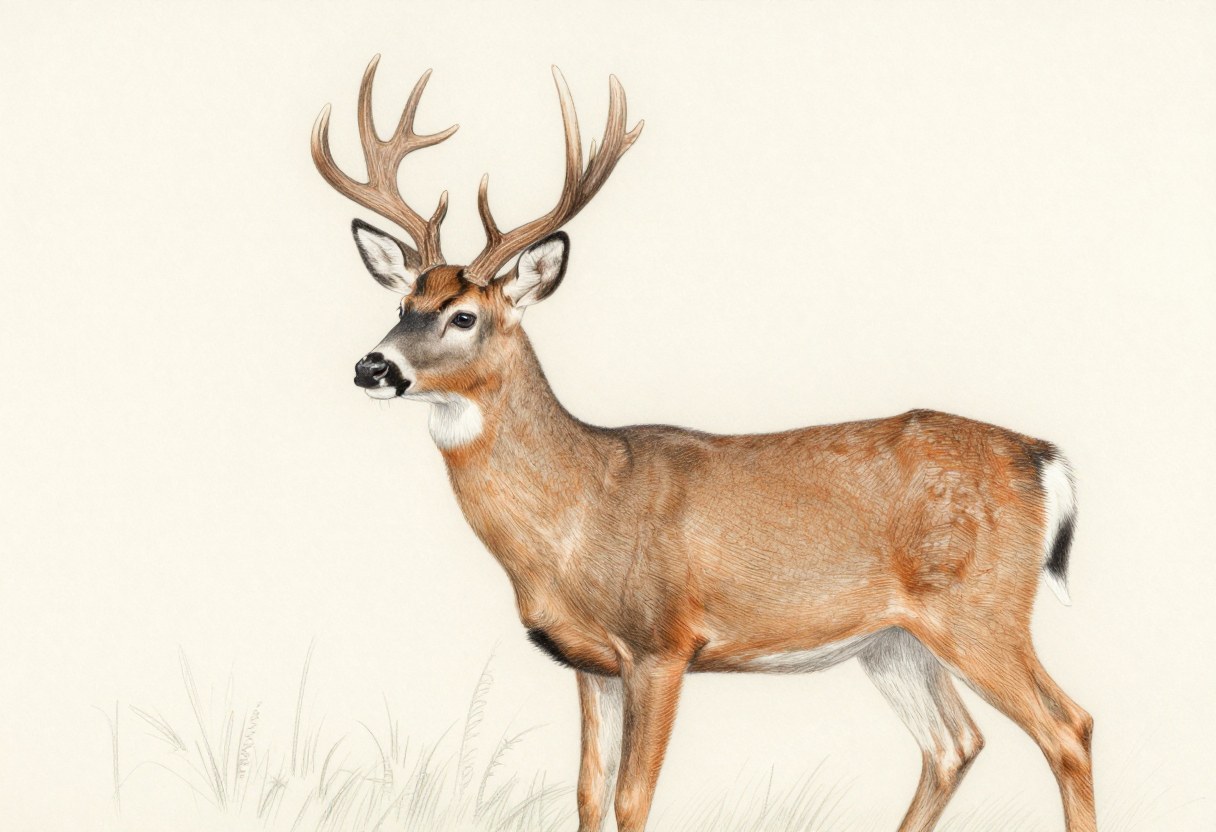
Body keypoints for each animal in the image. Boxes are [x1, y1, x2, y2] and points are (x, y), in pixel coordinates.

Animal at [311, 56, 1096, 832]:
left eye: (464, 316)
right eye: (402, 304)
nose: (371, 367)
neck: (576, 514)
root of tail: (1042, 458)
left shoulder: (661, 642)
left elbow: (632, 798)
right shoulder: (590, 663)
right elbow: (588, 794)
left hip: (982, 609)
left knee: (1069, 727)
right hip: (896, 640)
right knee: (954, 744)